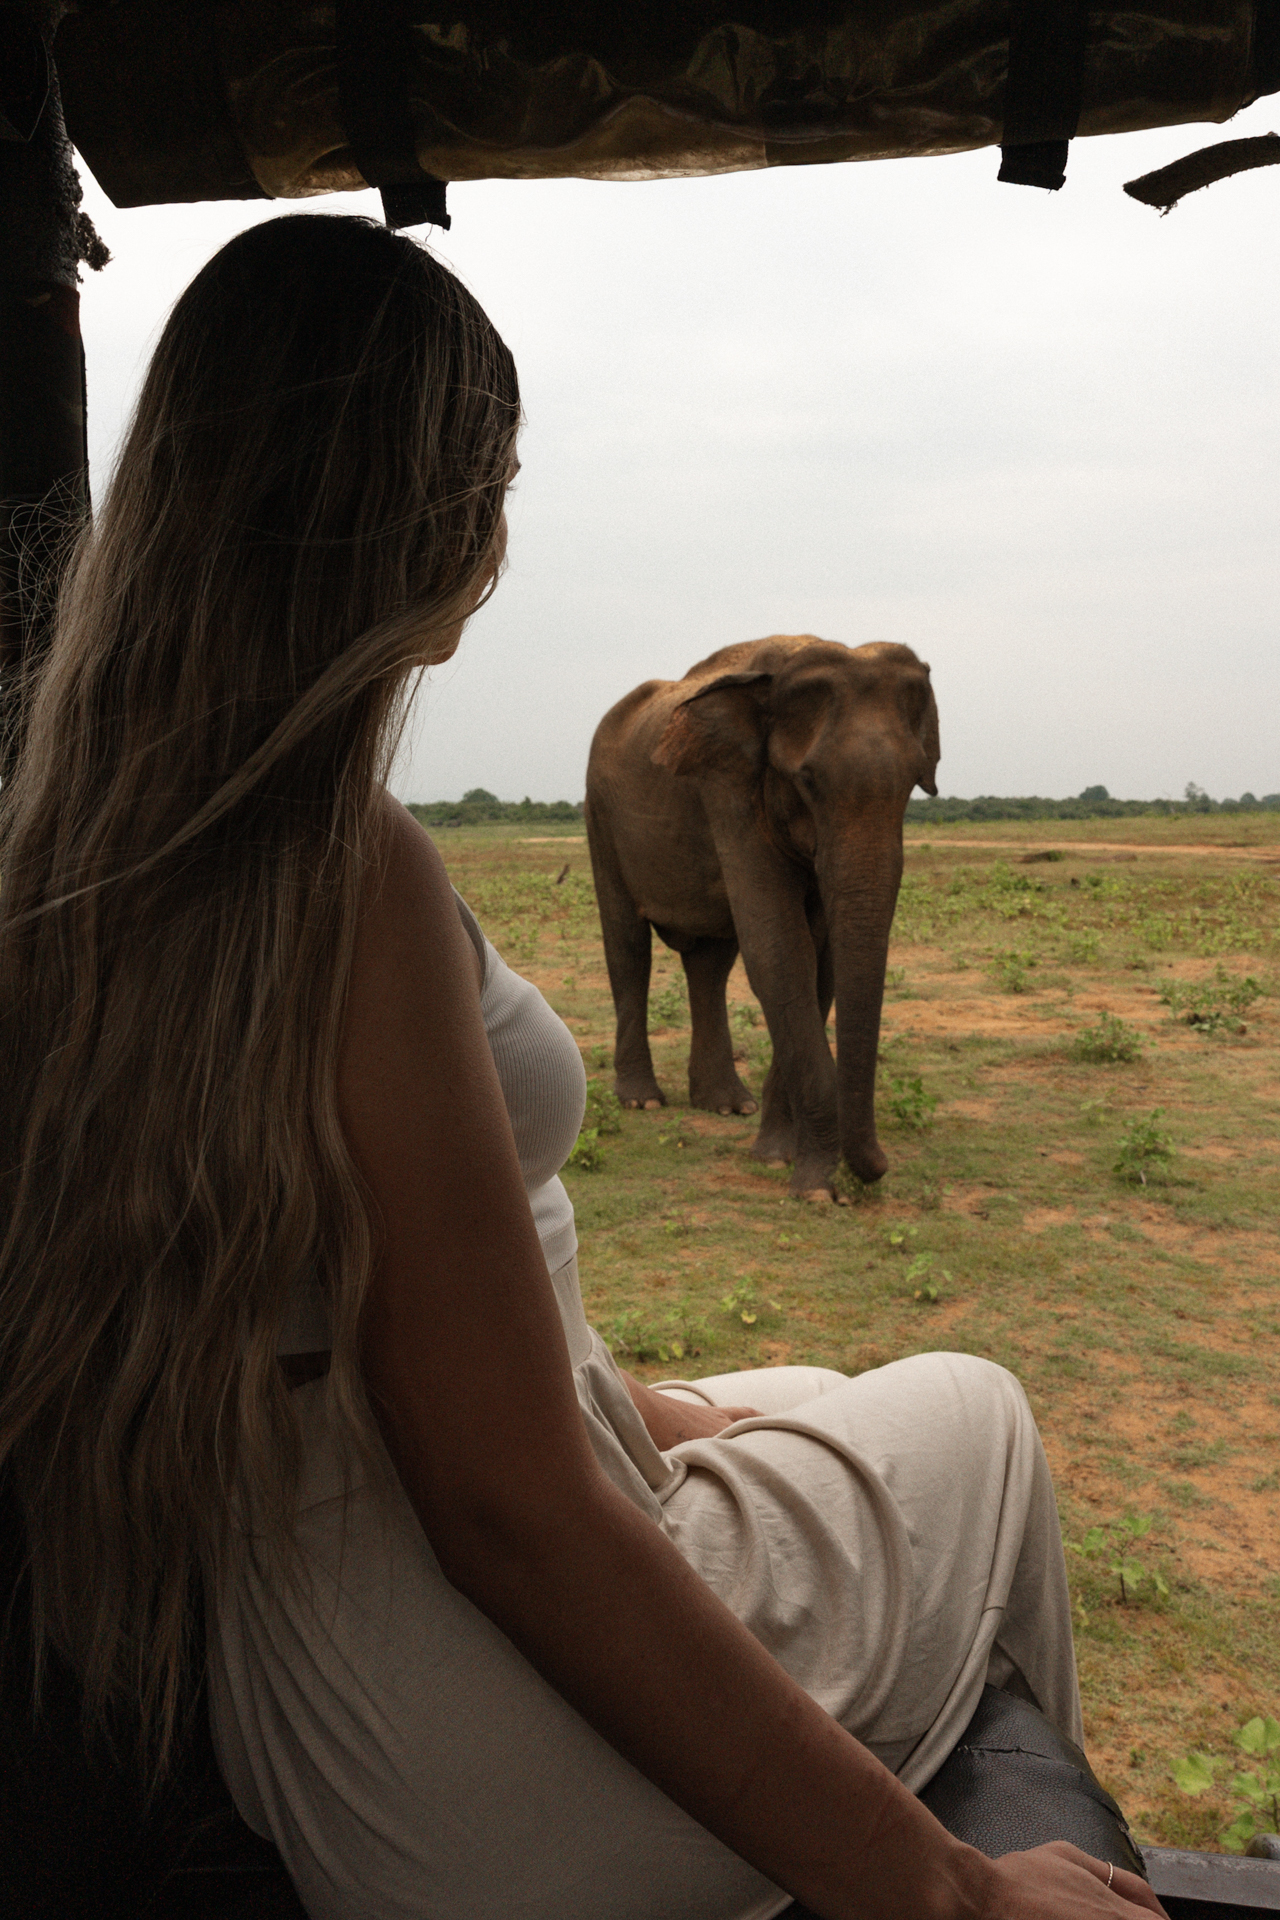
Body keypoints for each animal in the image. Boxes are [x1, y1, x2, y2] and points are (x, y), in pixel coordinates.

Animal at [584, 635, 939, 1199]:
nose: (878, 1168)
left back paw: (728, 1105)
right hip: (599, 812)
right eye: (808, 782)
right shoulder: (729, 788)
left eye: (912, 783)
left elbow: (818, 962)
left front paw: (775, 1157)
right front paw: (815, 1186)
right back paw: (643, 1100)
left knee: (709, 963)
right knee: (628, 947)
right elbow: (779, 950)